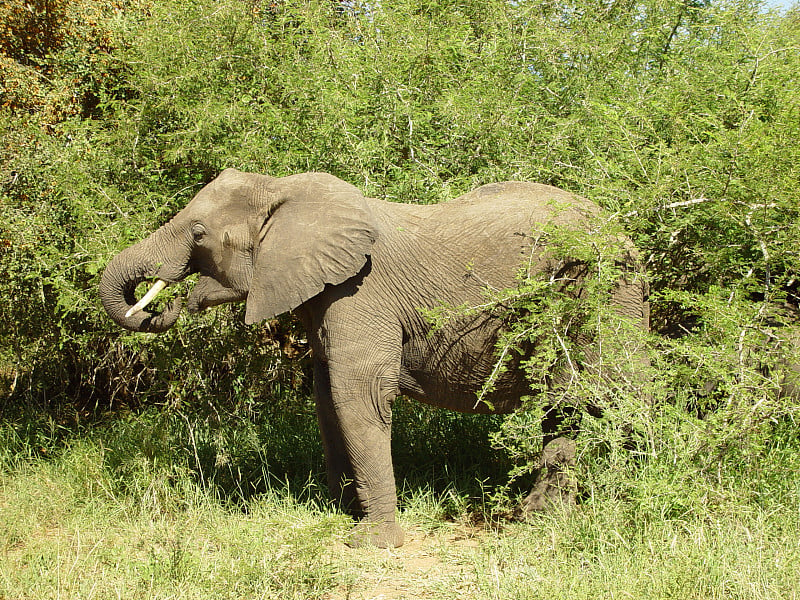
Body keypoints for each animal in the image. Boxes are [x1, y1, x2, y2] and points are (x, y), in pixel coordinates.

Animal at [100, 169, 648, 548]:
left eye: (198, 234)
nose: (169, 303)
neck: (283, 192)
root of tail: (624, 233)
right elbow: (327, 397)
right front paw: (343, 511)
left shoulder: (361, 290)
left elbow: (358, 395)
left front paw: (373, 541)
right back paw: (542, 516)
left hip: (604, 291)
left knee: (599, 390)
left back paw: (620, 498)